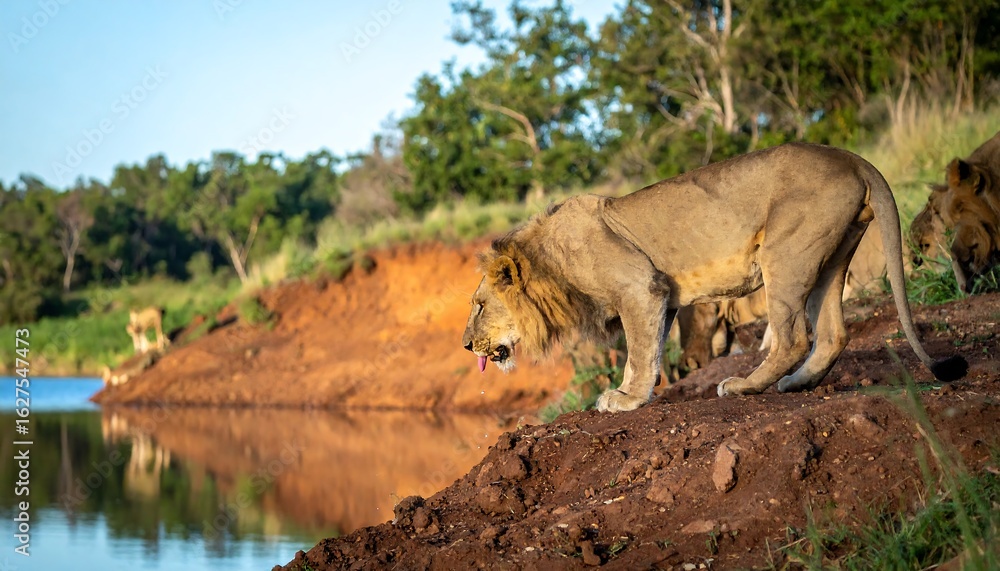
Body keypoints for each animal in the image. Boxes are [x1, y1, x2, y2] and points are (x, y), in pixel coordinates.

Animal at [462, 142, 966, 412]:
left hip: (785, 255)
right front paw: (633, 395)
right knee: (833, 335)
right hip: (829, 257)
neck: (549, 265)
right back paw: (796, 384)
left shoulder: (639, 287)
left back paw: (745, 385)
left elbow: (637, 354)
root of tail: (849, 157)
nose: (466, 345)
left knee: (792, 338)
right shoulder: (661, 295)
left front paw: (623, 399)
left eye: (480, 305)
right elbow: (651, 352)